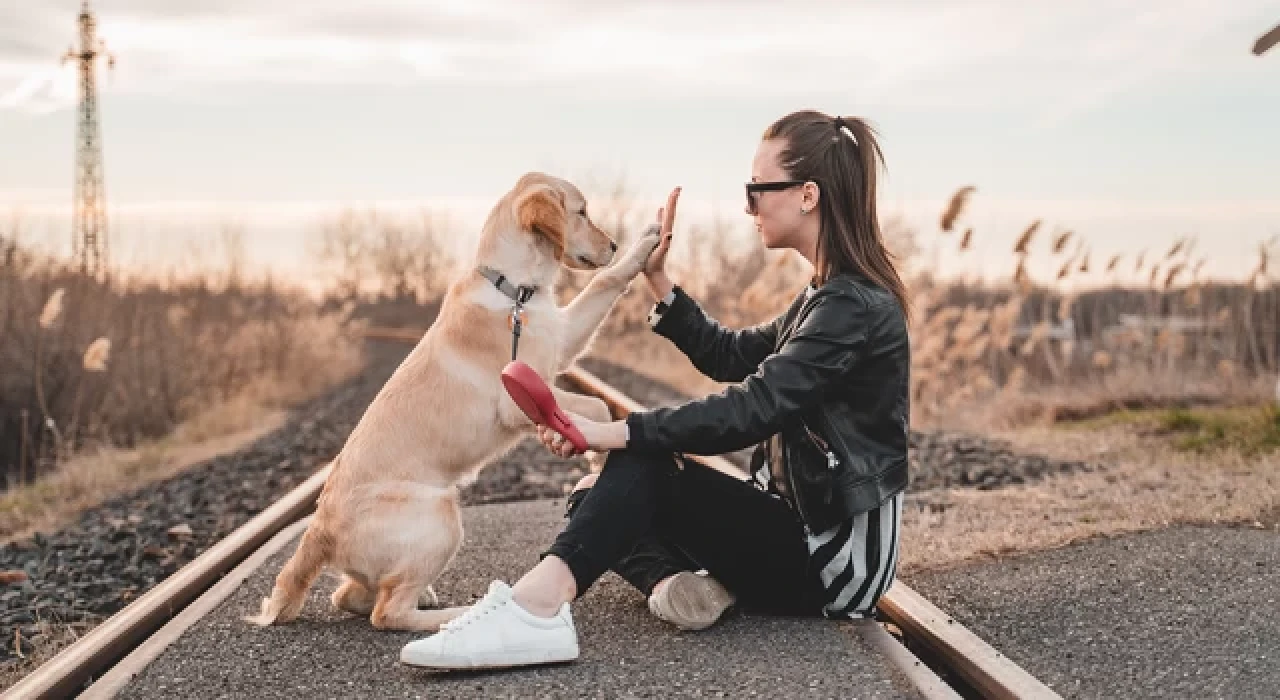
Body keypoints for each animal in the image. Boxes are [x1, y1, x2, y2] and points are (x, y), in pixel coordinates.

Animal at [249, 174, 665, 629]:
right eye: (582, 212)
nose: (613, 245)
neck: (514, 291)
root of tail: (318, 530)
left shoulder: (563, 338)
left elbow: (604, 284)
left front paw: (645, 241)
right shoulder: (519, 396)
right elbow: (597, 407)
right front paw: (595, 454)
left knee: (349, 596)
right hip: (441, 513)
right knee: (387, 612)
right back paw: (462, 613)